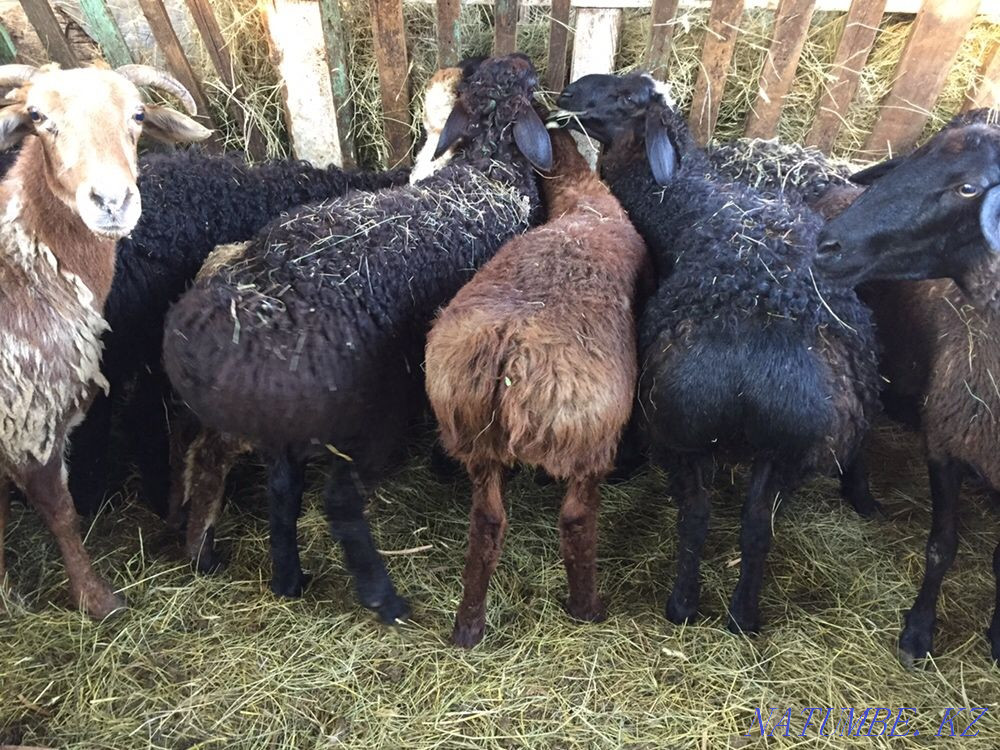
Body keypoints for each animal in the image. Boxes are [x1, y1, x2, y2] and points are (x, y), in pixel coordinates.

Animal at [0, 63, 210, 618]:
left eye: (136, 115)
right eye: (37, 116)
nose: (112, 202)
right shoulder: (32, 416)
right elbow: (60, 511)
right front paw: (96, 598)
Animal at [162, 54, 552, 620]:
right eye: (530, 84)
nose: (522, 61)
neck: (487, 167)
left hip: (284, 428)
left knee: (282, 489)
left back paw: (288, 578)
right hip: (368, 420)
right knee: (340, 504)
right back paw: (383, 599)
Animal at [424, 128, 649, 647]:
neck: (585, 204)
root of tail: (511, 347)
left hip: (475, 436)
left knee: (487, 523)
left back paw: (468, 624)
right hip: (589, 439)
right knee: (576, 520)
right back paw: (587, 608)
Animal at [553, 72, 881, 634]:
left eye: (627, 98)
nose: (569, 93)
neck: (693, 202)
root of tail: (746, 375)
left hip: (684, 435)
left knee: (698, 517)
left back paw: (687, 607)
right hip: (778, 448)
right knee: (750, 525)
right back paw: (736, 615)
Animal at [815, 108, 1000, 665]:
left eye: (968, 188)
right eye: (921, 153)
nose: (828, 244)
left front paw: (997, 636)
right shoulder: (944, 438)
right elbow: (942, 546)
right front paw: (918, 631)